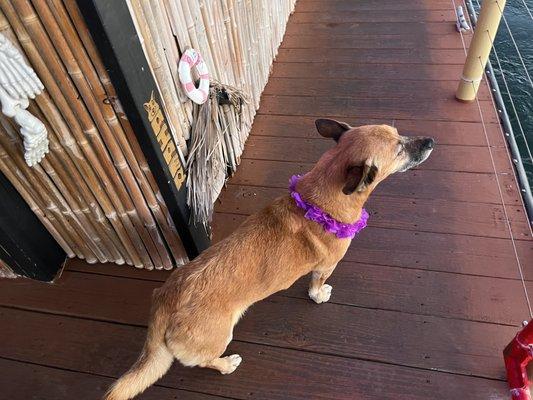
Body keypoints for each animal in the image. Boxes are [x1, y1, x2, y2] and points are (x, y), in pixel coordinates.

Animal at [104, 120, 432, 398]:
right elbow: (316, 286)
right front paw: (319, 295)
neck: (318, 200)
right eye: (399, 149)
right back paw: (227, 364)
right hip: (218, 339)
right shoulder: (326, 266)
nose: (430, 141)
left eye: (399, 133)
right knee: (205, 361)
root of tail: (164, 301)